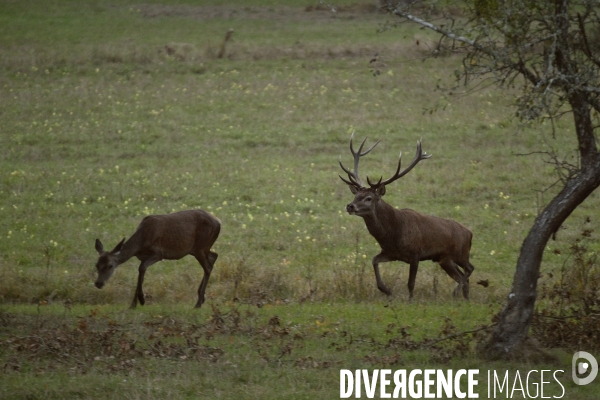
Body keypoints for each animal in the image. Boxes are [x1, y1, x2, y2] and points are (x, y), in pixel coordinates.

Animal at [340, 134, 476, 300]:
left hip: (460, 253)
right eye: (356, 195)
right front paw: (386, 290)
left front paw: (410, 301)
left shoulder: (415, 253)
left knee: (470, 269)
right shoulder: (390, 252)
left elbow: (411, 283)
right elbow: (374, 261)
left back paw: (456, 293)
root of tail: (470, 232)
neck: (393, 234)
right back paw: (465, 299)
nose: (350, 206)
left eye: (369, 198)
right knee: (463, 276)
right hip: (445, 259)